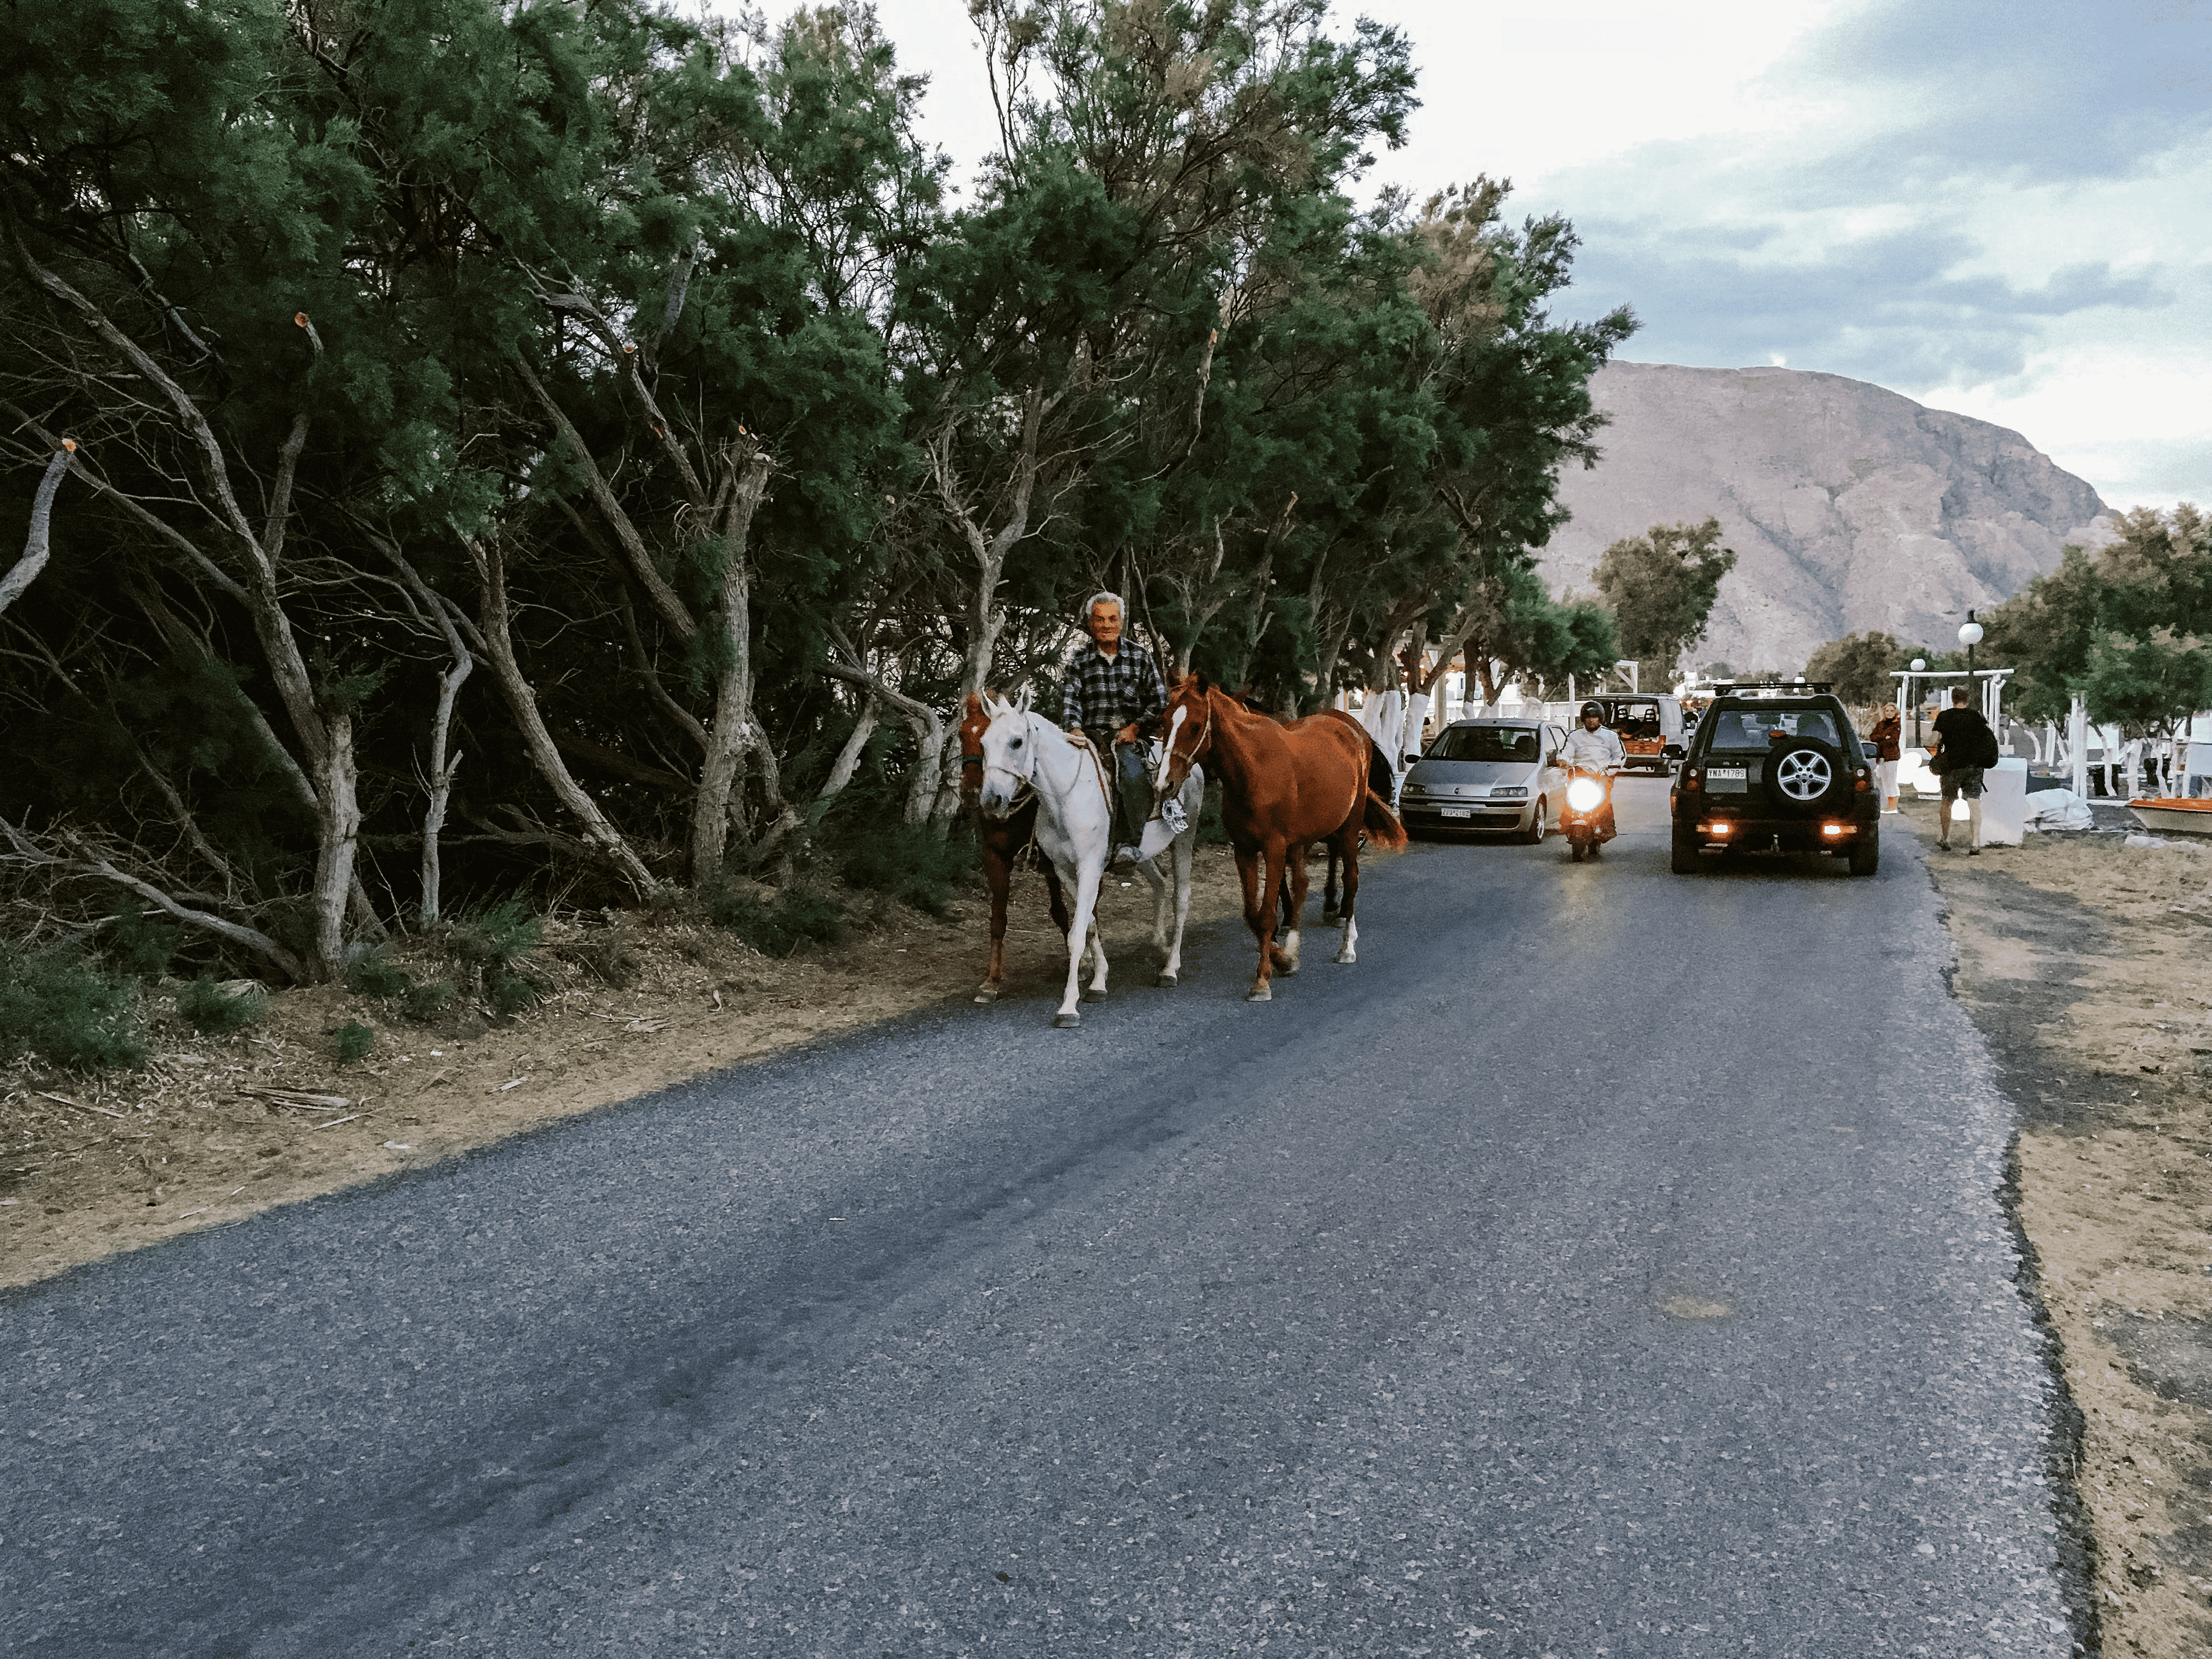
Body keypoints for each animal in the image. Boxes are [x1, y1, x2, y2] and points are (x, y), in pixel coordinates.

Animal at [960, 690, 1070, 1000]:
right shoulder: (996, 857)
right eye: (962, 735)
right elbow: (998, 918)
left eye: (1016, 742)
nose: (974, 792)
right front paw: (992, 980)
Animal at [978, 690, 1203, 1026]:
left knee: (1182, 897)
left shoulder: (1089, 868)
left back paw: (1170, 968)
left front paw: (1068, 1006)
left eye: (1017, 742)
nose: (991, 800)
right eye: (983, 743)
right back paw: (1159, 946)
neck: (1064, 797)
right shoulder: (1065, 871)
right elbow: (1091, 927)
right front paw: (1098, 982)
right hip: (1141, 855)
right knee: (1160, 884)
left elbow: (1076, 934)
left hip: (1184, 841)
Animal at [1150, 672, 1407, 1000]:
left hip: (1348, 830)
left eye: (1195, 725)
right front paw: (1283, 958)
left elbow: (1267, 915)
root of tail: (1353, 731)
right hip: (1301, 842)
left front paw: (1262, 980)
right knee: (1302, 885)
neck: (1254, 770)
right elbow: (1253, 914)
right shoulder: (1244, 850)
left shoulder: (1273, 849)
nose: (1164, 784)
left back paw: (1347, 946)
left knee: (1351, 880)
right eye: (1165, 720)